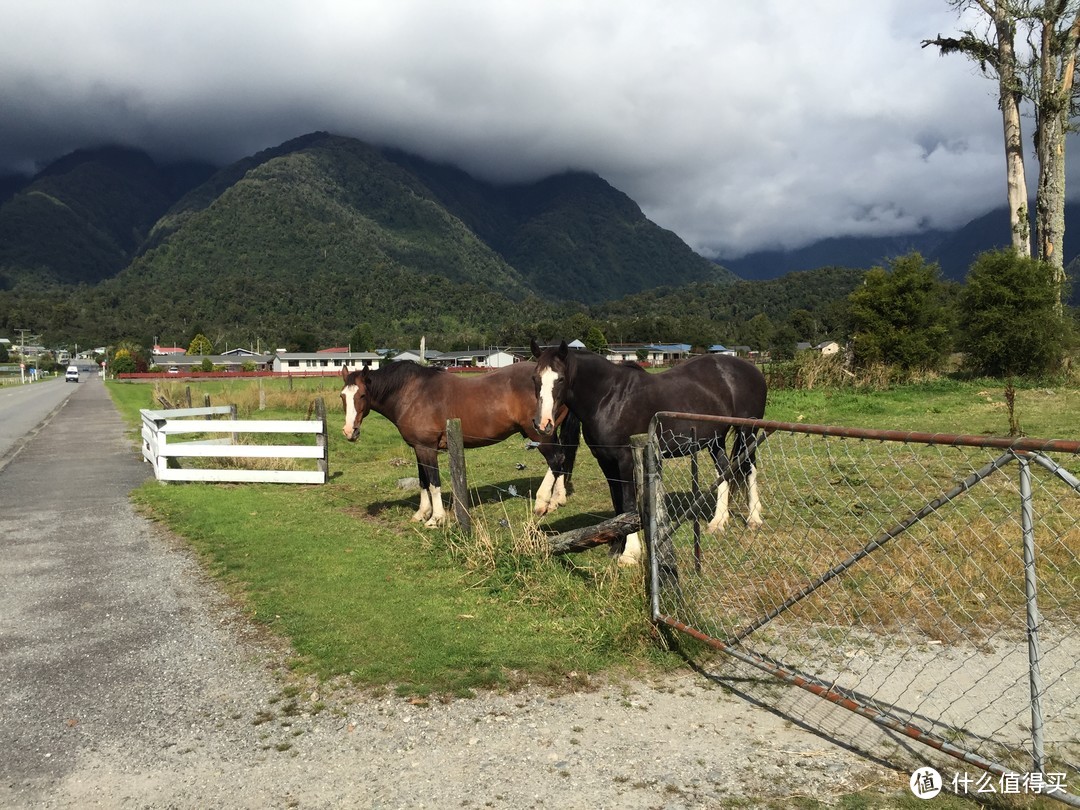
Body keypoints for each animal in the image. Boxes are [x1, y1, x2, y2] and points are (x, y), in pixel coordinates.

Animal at [341, 360, 578, 527]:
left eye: (362, 395)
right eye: (343, 396)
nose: (349, 432)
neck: (411, 393)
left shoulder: (427, 449)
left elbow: (433, 482)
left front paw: (436, 519)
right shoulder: (419, 449)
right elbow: (422, 481)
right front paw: (421, 514)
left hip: (540, 434)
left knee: (555, 459)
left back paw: (542, 503)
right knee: (561, 459)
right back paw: (557, 500)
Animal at [527, 341, 764, 565]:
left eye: (560, 379)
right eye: (535, 378)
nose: (543, 424)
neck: (609, 398)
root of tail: (752, 370)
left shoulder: (625, 460)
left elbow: (629, 503)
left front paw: (630, 554)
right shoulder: (606, 462)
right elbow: (618, 503)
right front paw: (616, 546)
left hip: (748, 433)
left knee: (749, 469)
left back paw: (754, 518)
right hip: (715, 440)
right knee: (724, 471)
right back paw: (718, 522)